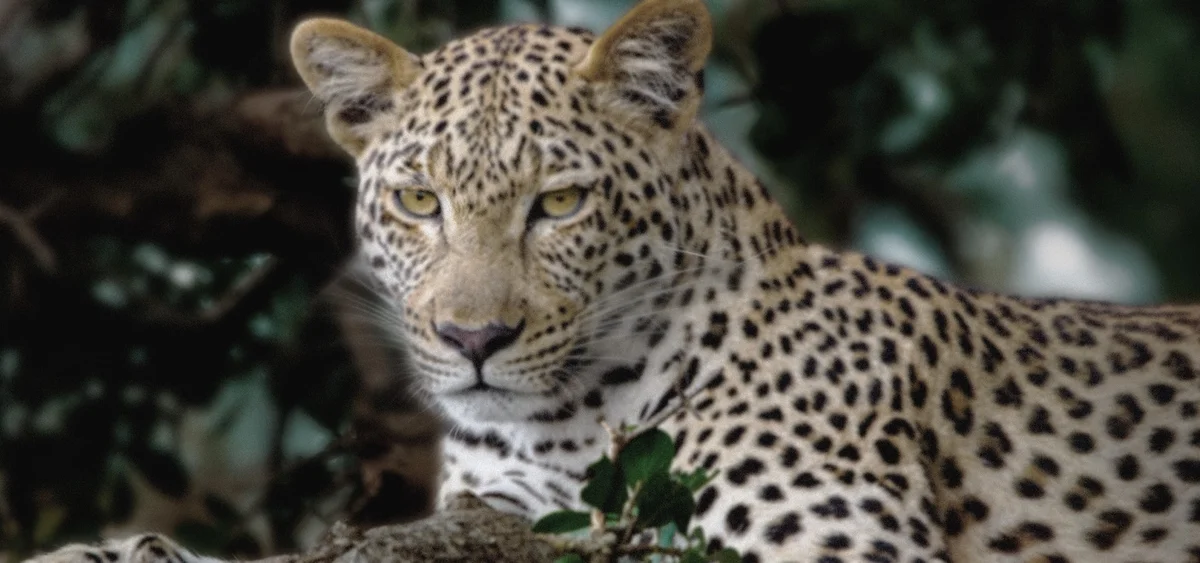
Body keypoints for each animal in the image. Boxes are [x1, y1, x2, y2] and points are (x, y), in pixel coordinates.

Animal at [26, 0, 1200, 561]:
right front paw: (114, 549)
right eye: (419, 202)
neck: (574, 417)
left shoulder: (828, 538)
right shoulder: (511, 507)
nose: (473, 341)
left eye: (559, 205)